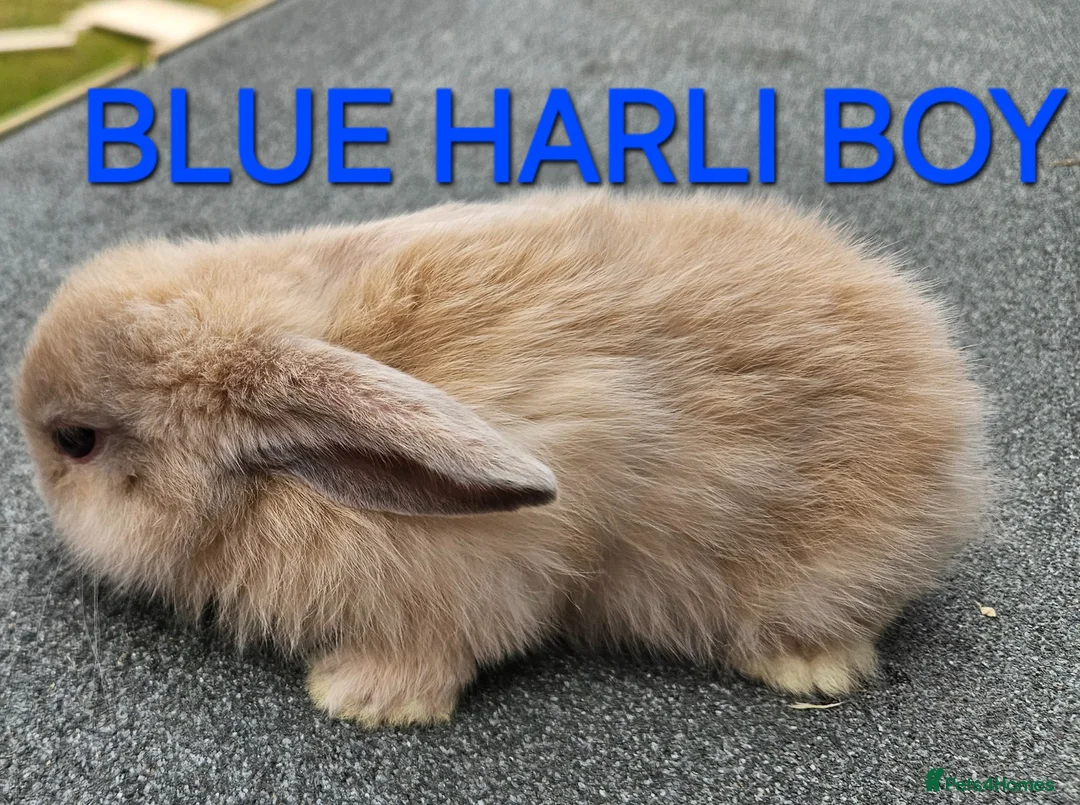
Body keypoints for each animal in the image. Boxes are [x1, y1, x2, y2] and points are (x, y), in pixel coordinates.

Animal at [15, 191, 987, 726]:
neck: (273, 480)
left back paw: (806, 668)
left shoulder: (469, 585)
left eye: (76, 440)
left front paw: (356, 698)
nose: (37, 467)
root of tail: (949, 395)